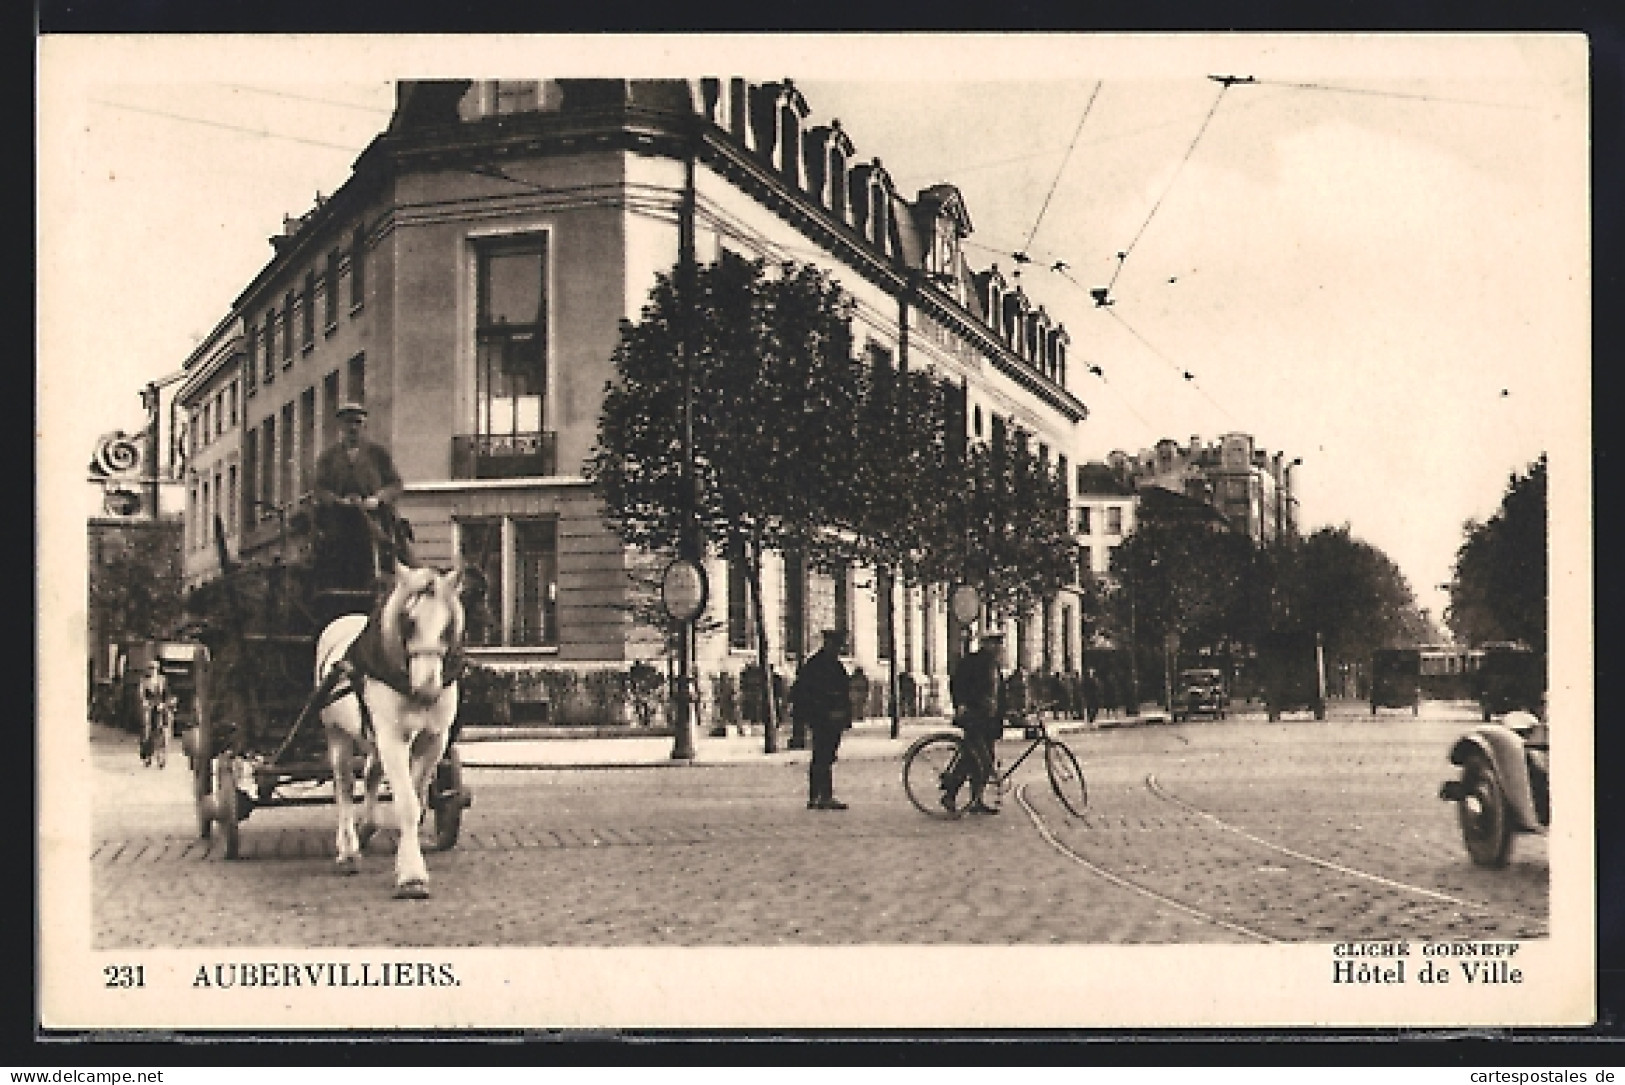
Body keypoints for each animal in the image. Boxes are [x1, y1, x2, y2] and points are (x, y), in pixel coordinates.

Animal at [315, 565, 464, 896]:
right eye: (408, 621)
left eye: (448, 625)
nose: (427, 688)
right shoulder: (392, 739)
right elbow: (406, 803)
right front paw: (412, 876)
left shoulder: (434, 740)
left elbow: (418, 801)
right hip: (336, 732)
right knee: (344, 786)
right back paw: (348, 850)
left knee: (371, 774)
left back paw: (367, 827)